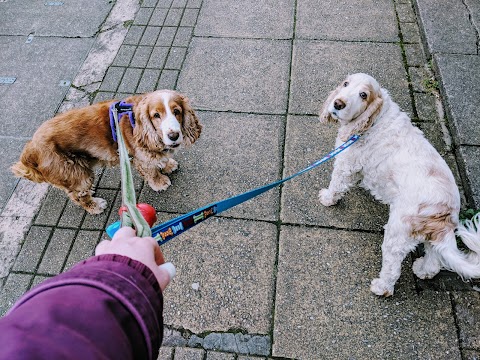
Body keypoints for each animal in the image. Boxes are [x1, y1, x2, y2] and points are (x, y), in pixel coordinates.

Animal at [11, 90, 202, 214]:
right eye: (156, 115)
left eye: (177, 111)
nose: (173, 135)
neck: (136, 121)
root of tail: (31, 149)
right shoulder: (142, 156)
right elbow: (151, 170)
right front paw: (160, 182)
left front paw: (168, 164)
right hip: (75, 173)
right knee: (78, 196)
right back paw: (95, 205)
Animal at [318, 72, 480, 296]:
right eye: (345, 84)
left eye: (363, 95)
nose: (338, 103)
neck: (376, 119)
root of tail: (444, 213)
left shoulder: (346, 164)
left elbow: (337, 184)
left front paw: (327, 198)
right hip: (431, 238)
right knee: (434, 260)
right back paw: (422, 270)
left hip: (397, 232)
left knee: (392, 268)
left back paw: (381, 288)